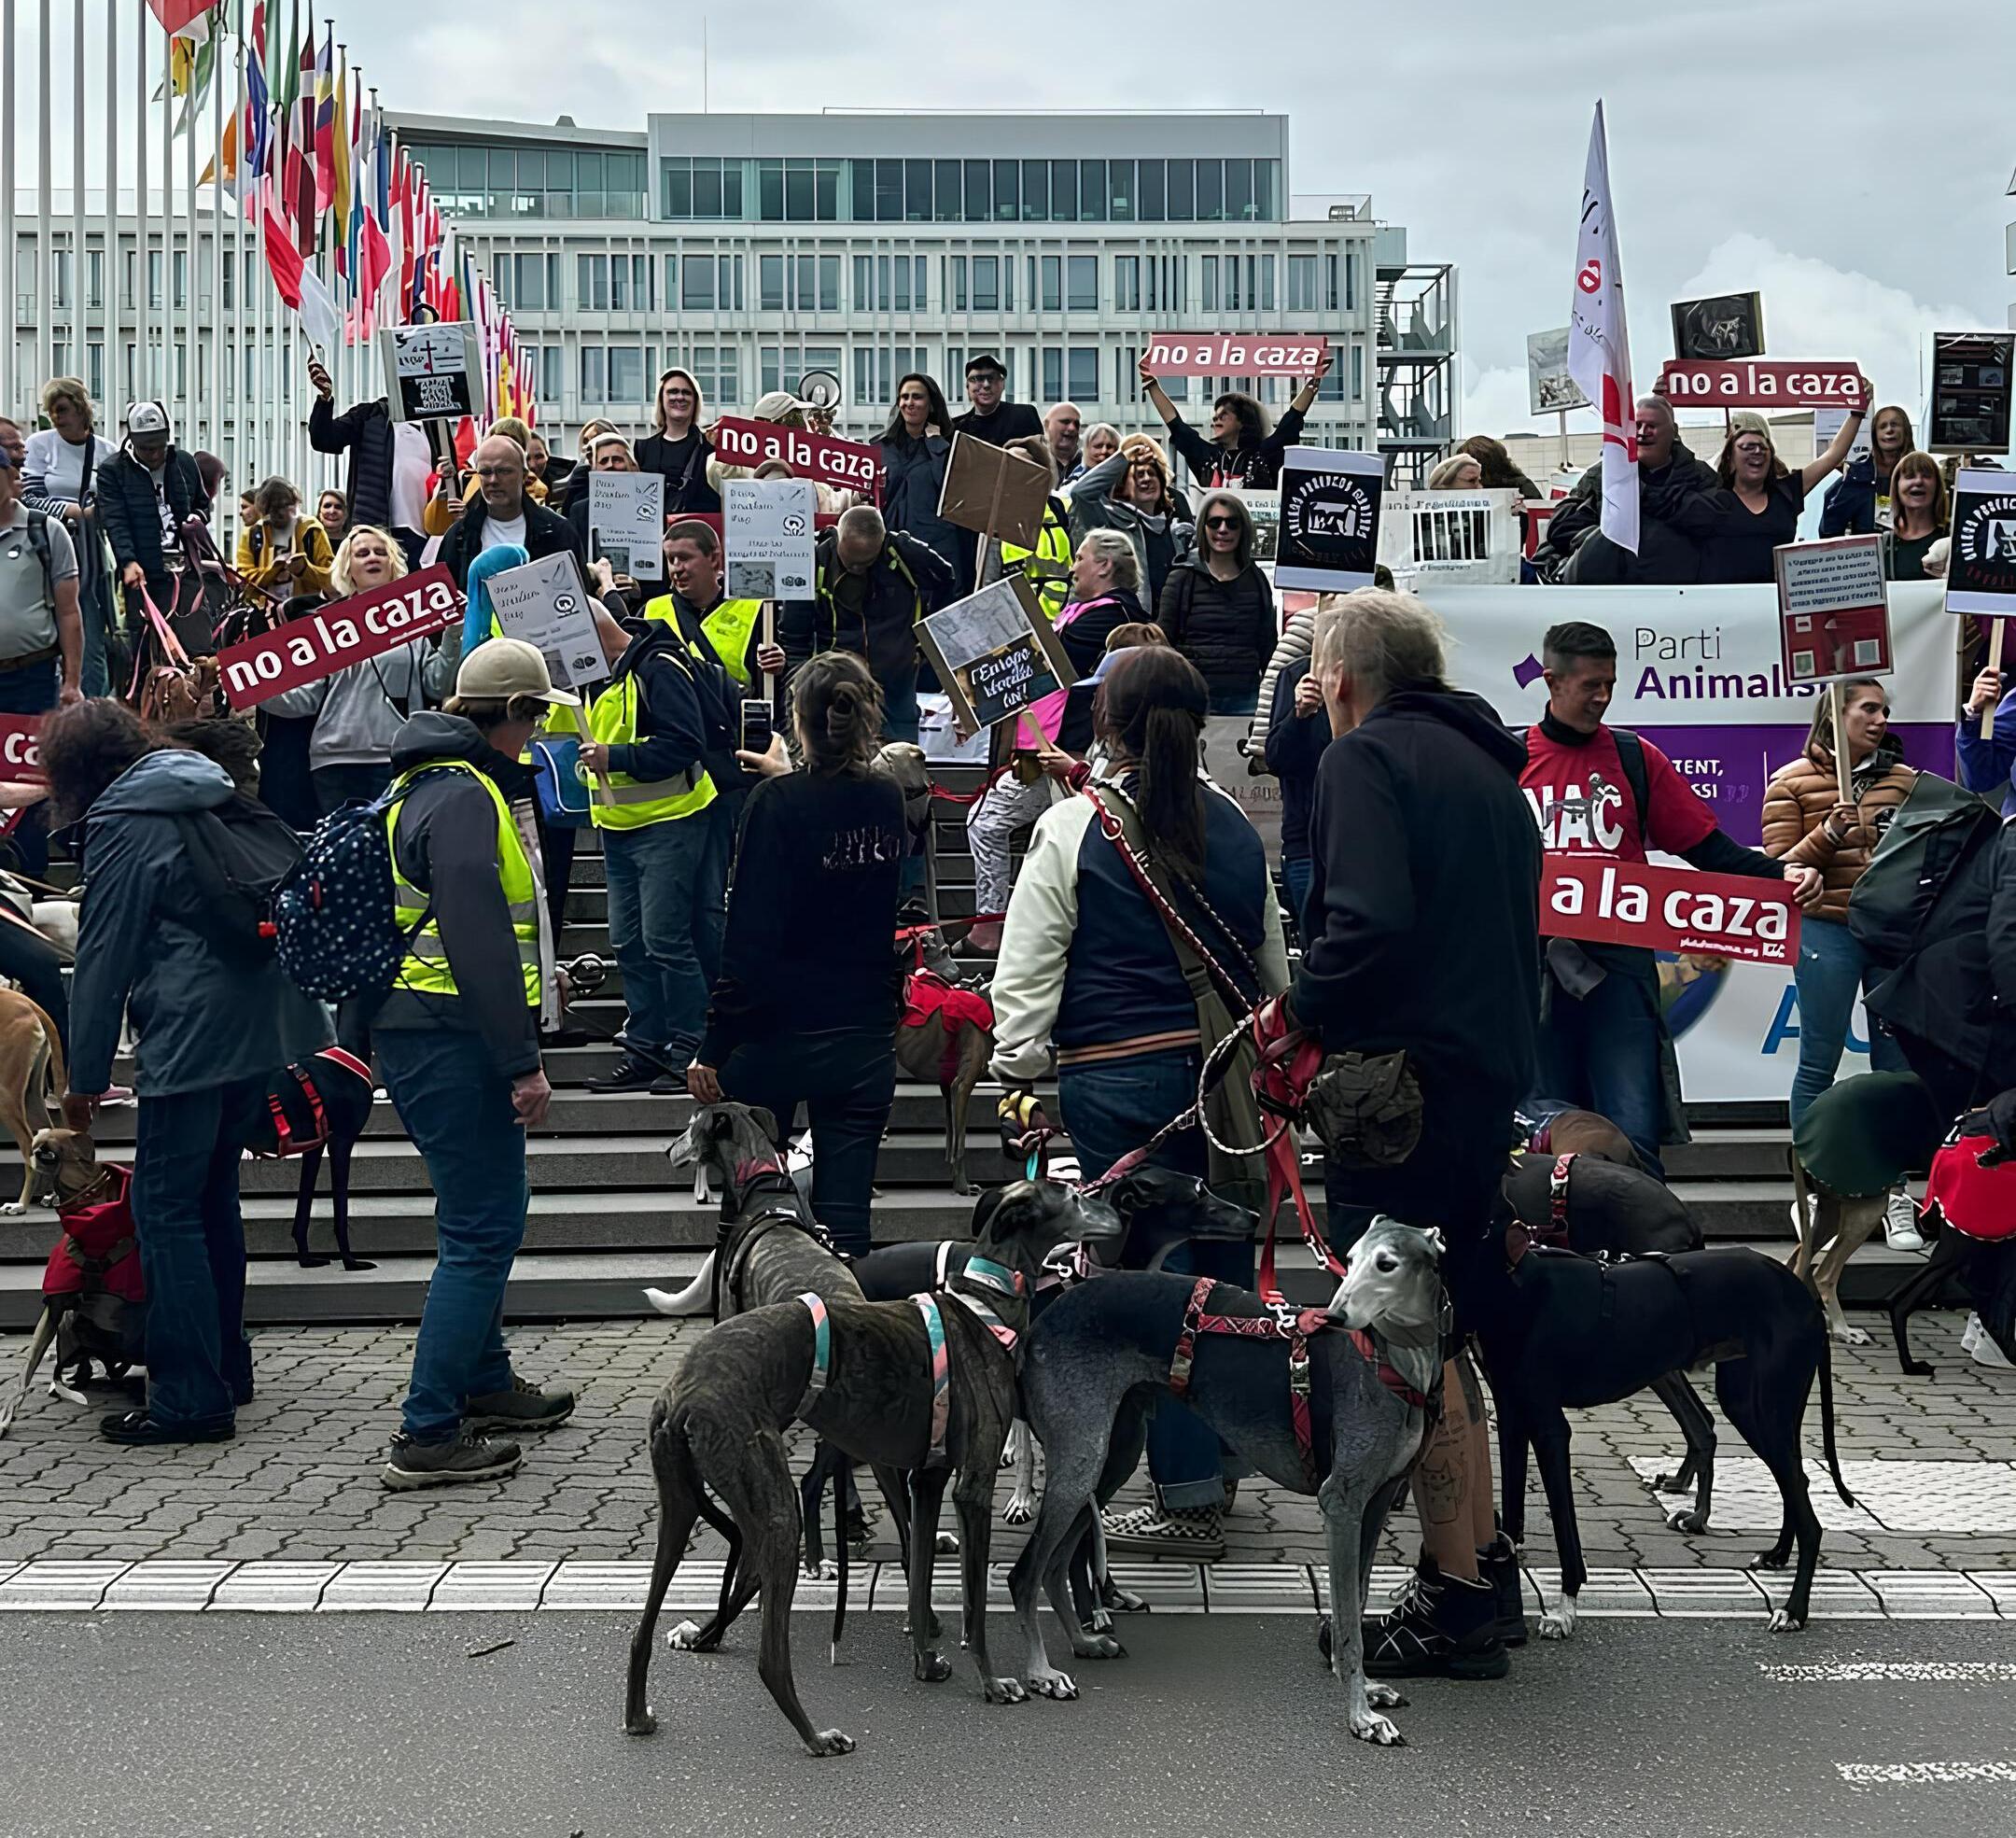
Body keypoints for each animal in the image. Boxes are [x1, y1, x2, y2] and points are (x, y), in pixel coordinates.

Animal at [621, 1185, 1113, 1757]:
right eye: (1075, 1197)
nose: (1117, 1213)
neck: (984, 1307)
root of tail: (681, 1395)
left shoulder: (927, 1482)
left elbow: (919, 1575)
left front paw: (926, 1662)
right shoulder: (972, 1487)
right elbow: (973, 1610)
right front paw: (992, 1683)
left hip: (682, 1510)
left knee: (644, 1629)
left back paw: (642, 1711)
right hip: (775, 1510)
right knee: (770, 1656)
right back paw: (815, 1736)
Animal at [1008, 1225, 1451, 1741]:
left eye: (1386, 1264)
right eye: (1352, 1257)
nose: (1335, 1317)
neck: (1388, 1362)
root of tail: (1040, 1323)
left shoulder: (1376, 1503)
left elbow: (1355, 1607)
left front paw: (1369, 1689)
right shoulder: (1341, 1504)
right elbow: (1347, 1624)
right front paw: (1361, 1715)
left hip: (1106, 1459)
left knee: (1055, 1565)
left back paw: (1082, 1641)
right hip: (1082, 1459)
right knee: (1025, 1572)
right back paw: (1039, 1672)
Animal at [1483, 1241, 1855, 1644]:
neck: (1518, 1279)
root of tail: (1803, 1295)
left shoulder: (1549, 1425)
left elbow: (1566, 1535)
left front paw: (1563, 1611)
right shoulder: (1510, 1413)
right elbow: (1511, 1515)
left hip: (1751, 1405)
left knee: (1807, 1513)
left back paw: (1793, 1610)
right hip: (1772, 1408)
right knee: (1796, 1482)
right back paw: (1777, 1554)